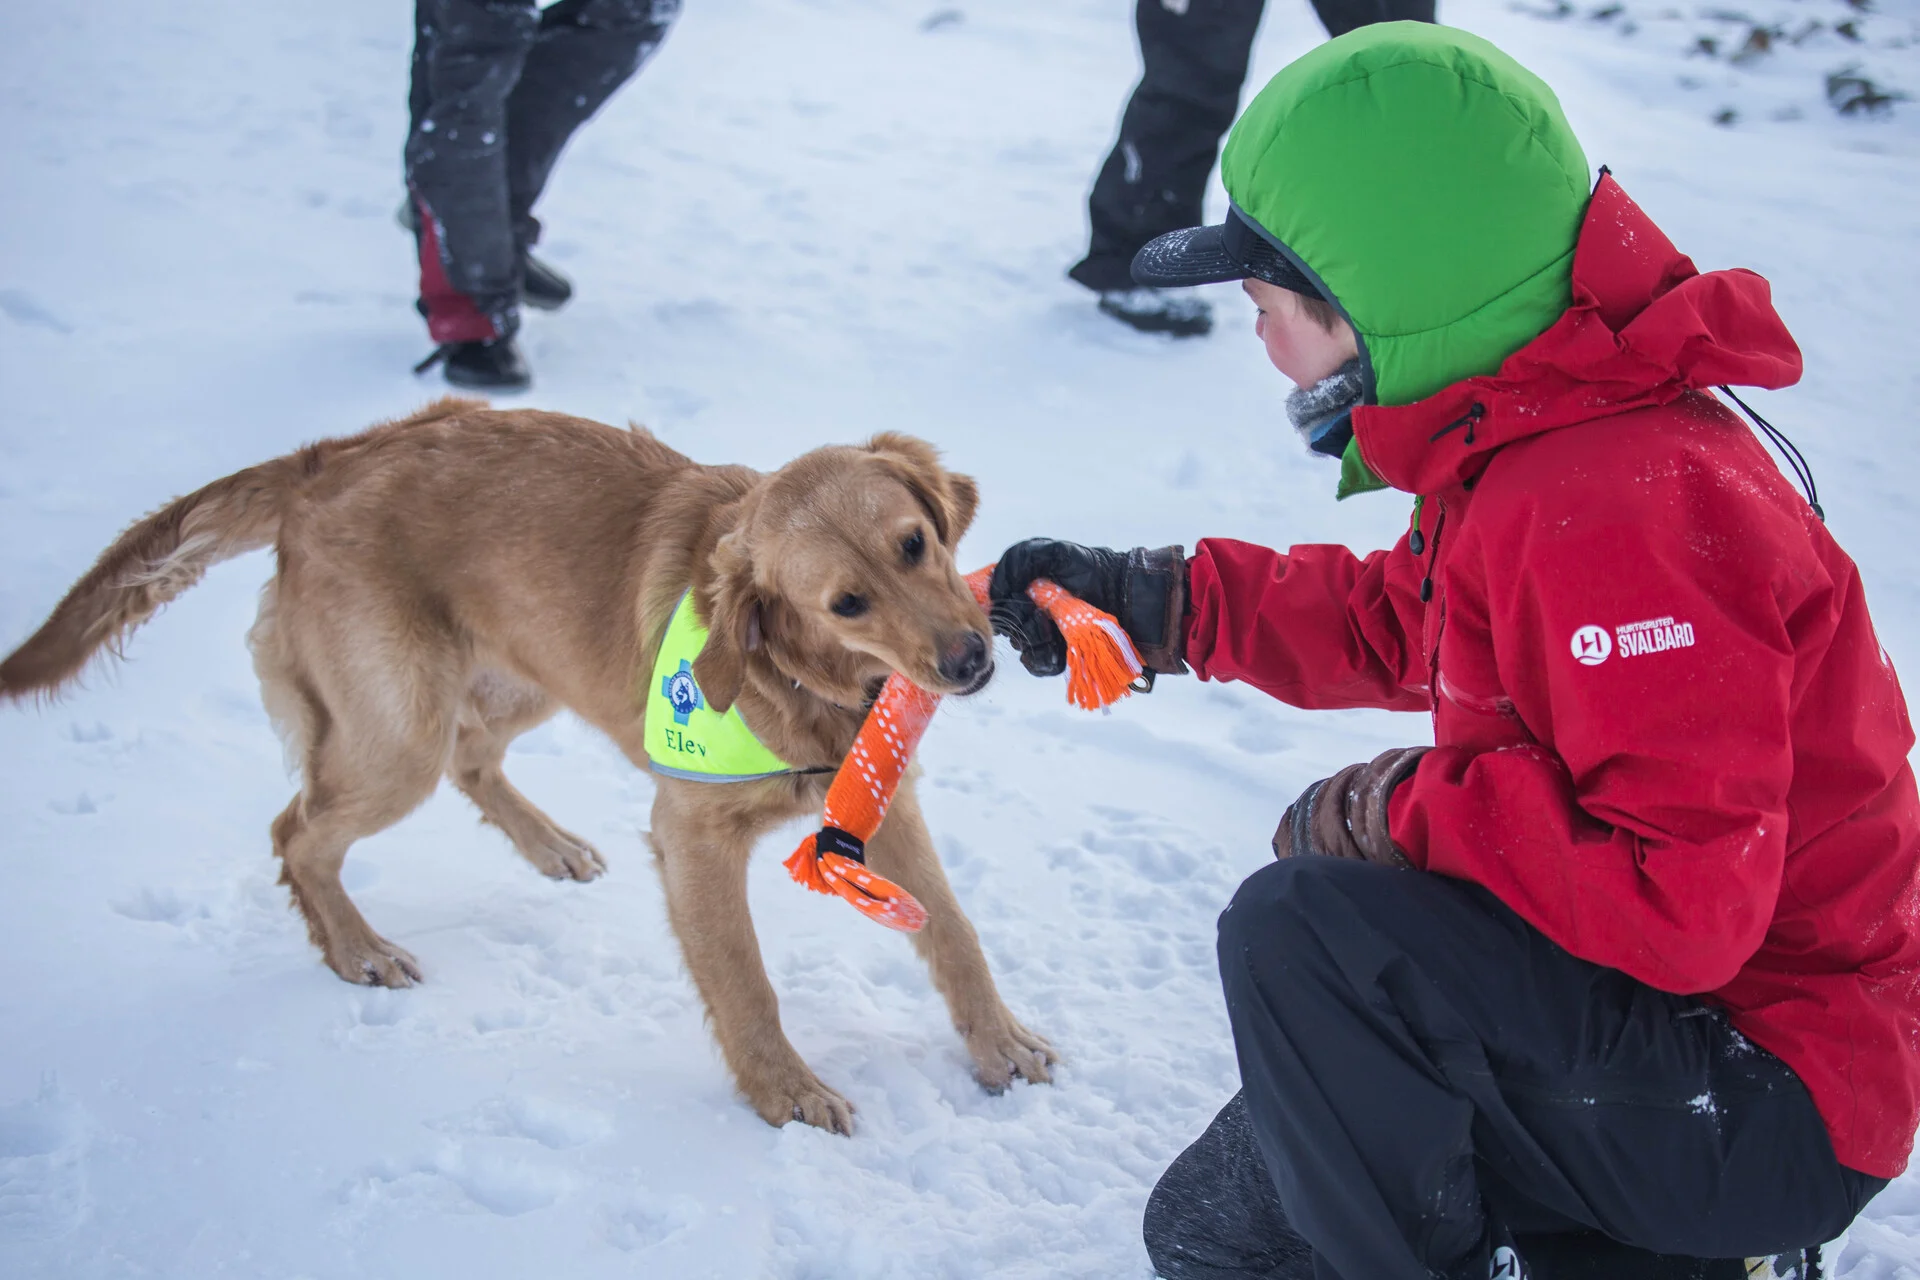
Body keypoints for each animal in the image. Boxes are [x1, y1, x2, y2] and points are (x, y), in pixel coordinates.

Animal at [0, 401, 1052, 1128]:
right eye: (846, 603)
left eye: (914, 543)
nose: (970, 659)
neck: (798, 682)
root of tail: (325, 461)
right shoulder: (691, 839)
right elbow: (746, 985)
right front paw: (786, 1095)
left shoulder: (883, 803)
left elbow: (956, 935)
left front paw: (1000, 1045)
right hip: (401, 730)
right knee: (298, 830)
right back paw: (358, 950)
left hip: (529, 670)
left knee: (470, 759)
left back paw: (550, 846)